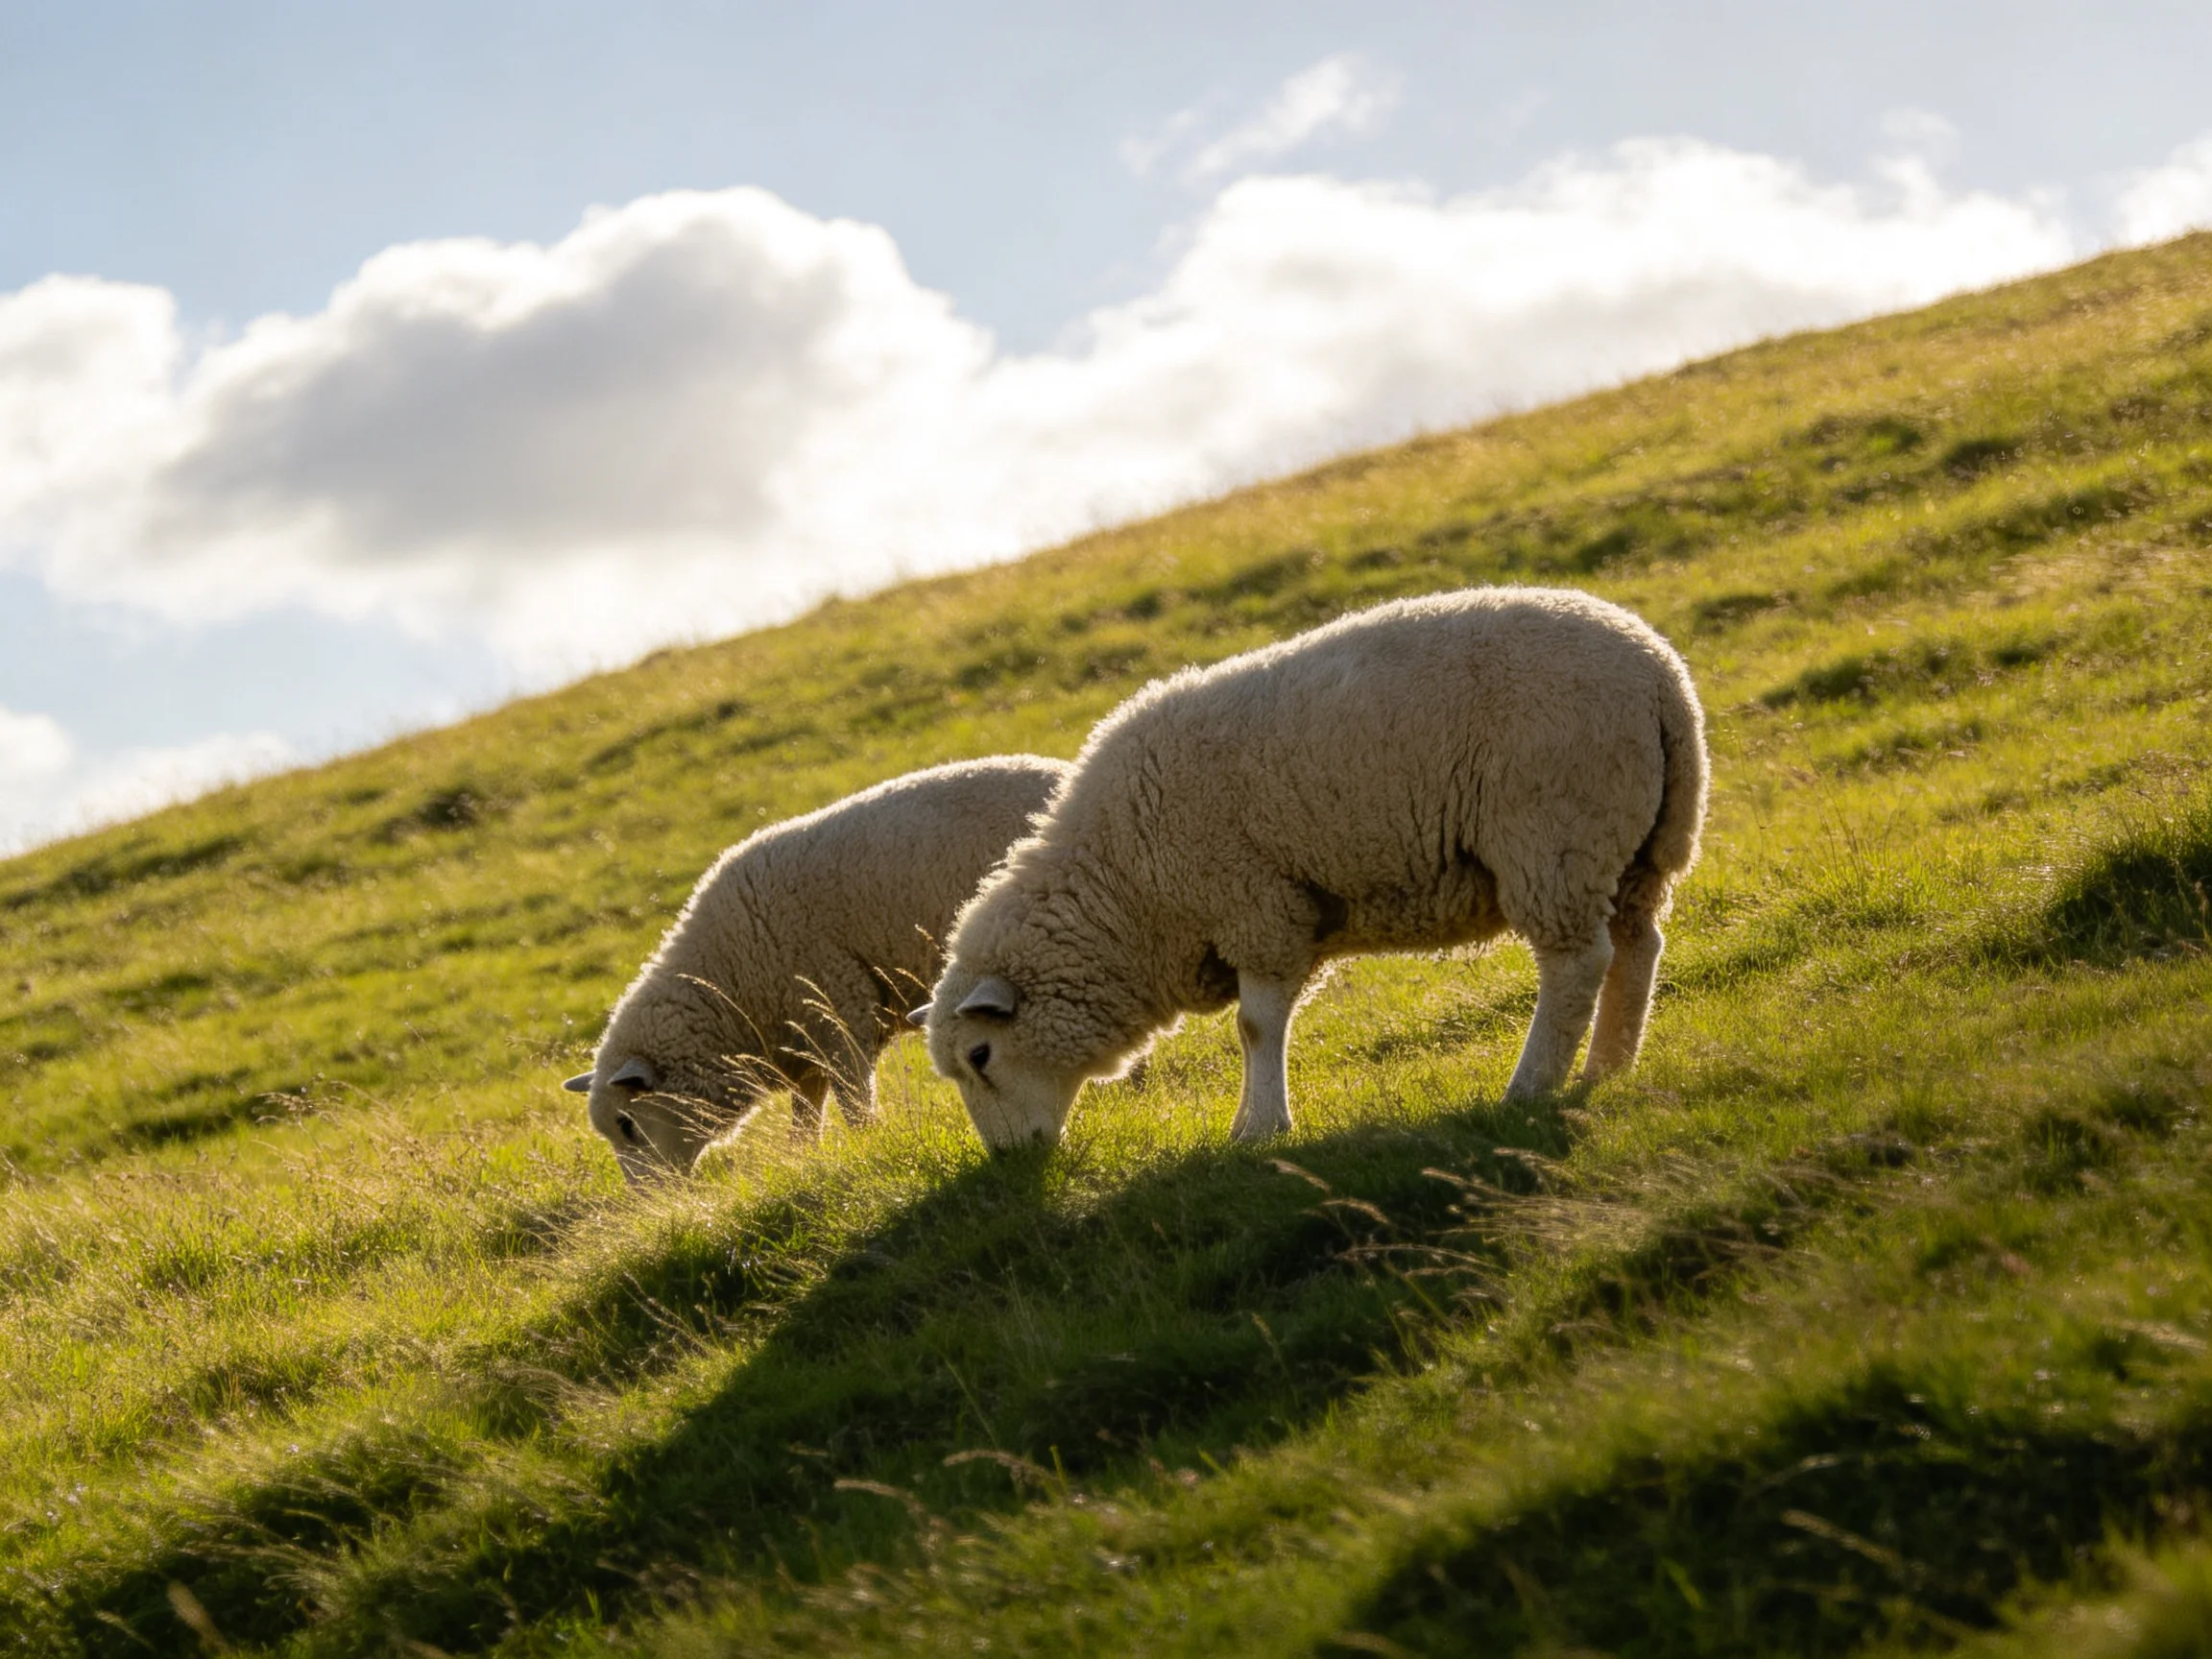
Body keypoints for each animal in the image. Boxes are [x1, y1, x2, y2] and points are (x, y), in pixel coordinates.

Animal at [565, 754, 1068, 1178]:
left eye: (627, 1123)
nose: (648, 1198)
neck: (729, 983)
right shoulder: (801, 1047)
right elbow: (806, 1112)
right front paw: (801, 1155)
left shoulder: (839, 1011)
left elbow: (852, 1098)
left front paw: (869, 1142)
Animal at [919, 587, 1707, 1151]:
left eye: (981, 1055)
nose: (1011, 1162)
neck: (1126, 888)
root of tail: (1658, 675)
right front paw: (1256, 1124)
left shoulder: (1256, 908)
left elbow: (1255, 1028)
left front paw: (1258, 1131)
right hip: (1634, 847)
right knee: (1637, 948)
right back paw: (1609, 1067)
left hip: (1555, 835)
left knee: (1576, 965)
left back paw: (1532, 1086)